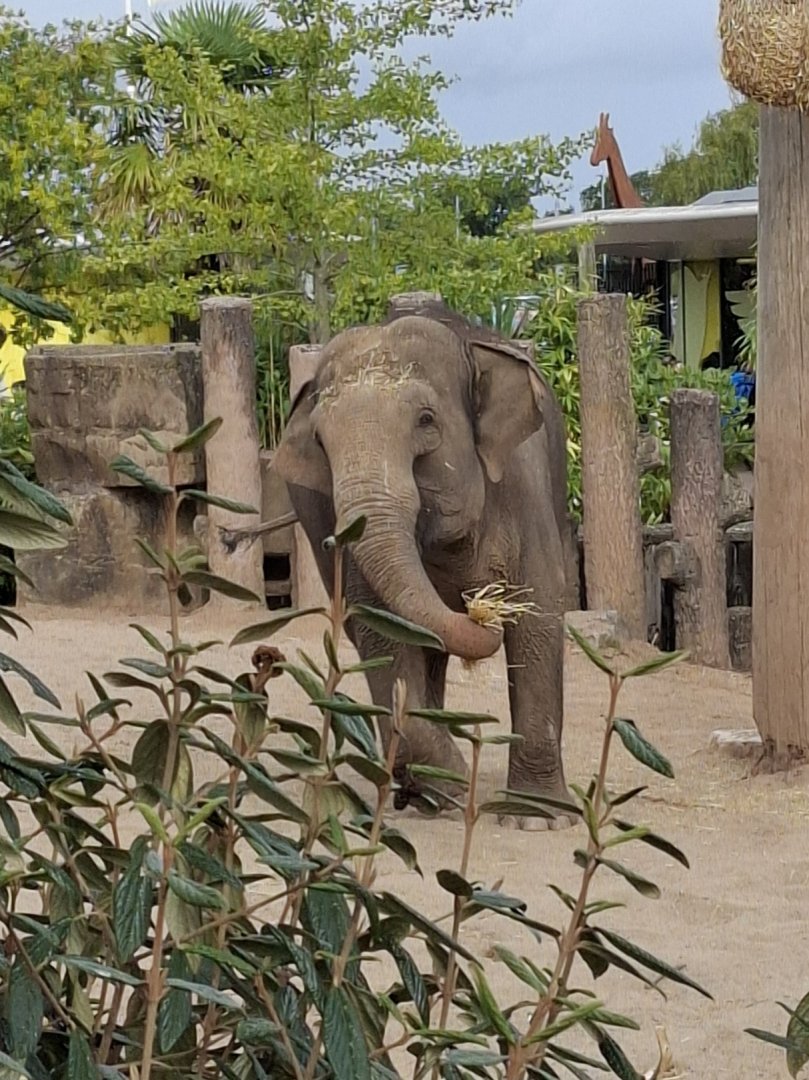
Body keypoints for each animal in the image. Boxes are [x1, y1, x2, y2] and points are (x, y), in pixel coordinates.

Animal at [273, 297, 576, 829]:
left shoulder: (526, 483)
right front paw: (453, 789)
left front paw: (537, 818)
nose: (478, 606)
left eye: (427, 420)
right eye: (321, 442)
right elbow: (384, 632)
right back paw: (419, 794)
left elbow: (537, 612)